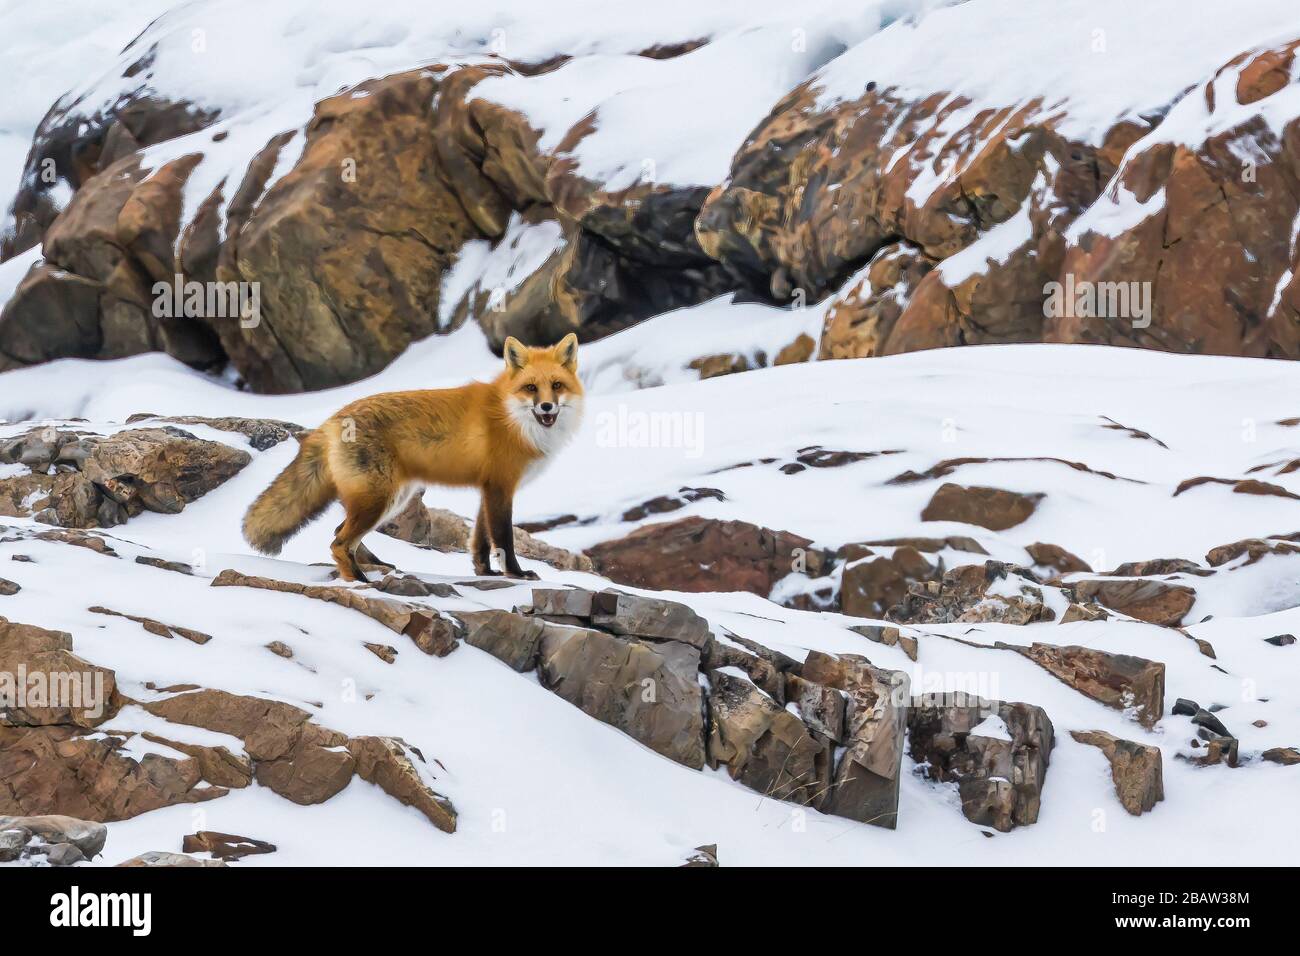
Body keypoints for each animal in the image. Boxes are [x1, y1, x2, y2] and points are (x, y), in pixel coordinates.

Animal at [243, 332, 585, 580]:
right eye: (531, 388)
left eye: (556, 385)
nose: (546, 407)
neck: (513, 419)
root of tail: (333, 418)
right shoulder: (501, 486)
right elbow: (503, 538)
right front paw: (516, 574)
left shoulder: (487, 488)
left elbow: (481, 540)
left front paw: (484, 572)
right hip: (379, 500)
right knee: (338, 543)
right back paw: (359, 581)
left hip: (393, 499)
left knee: (339, 533)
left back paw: (377, 566)